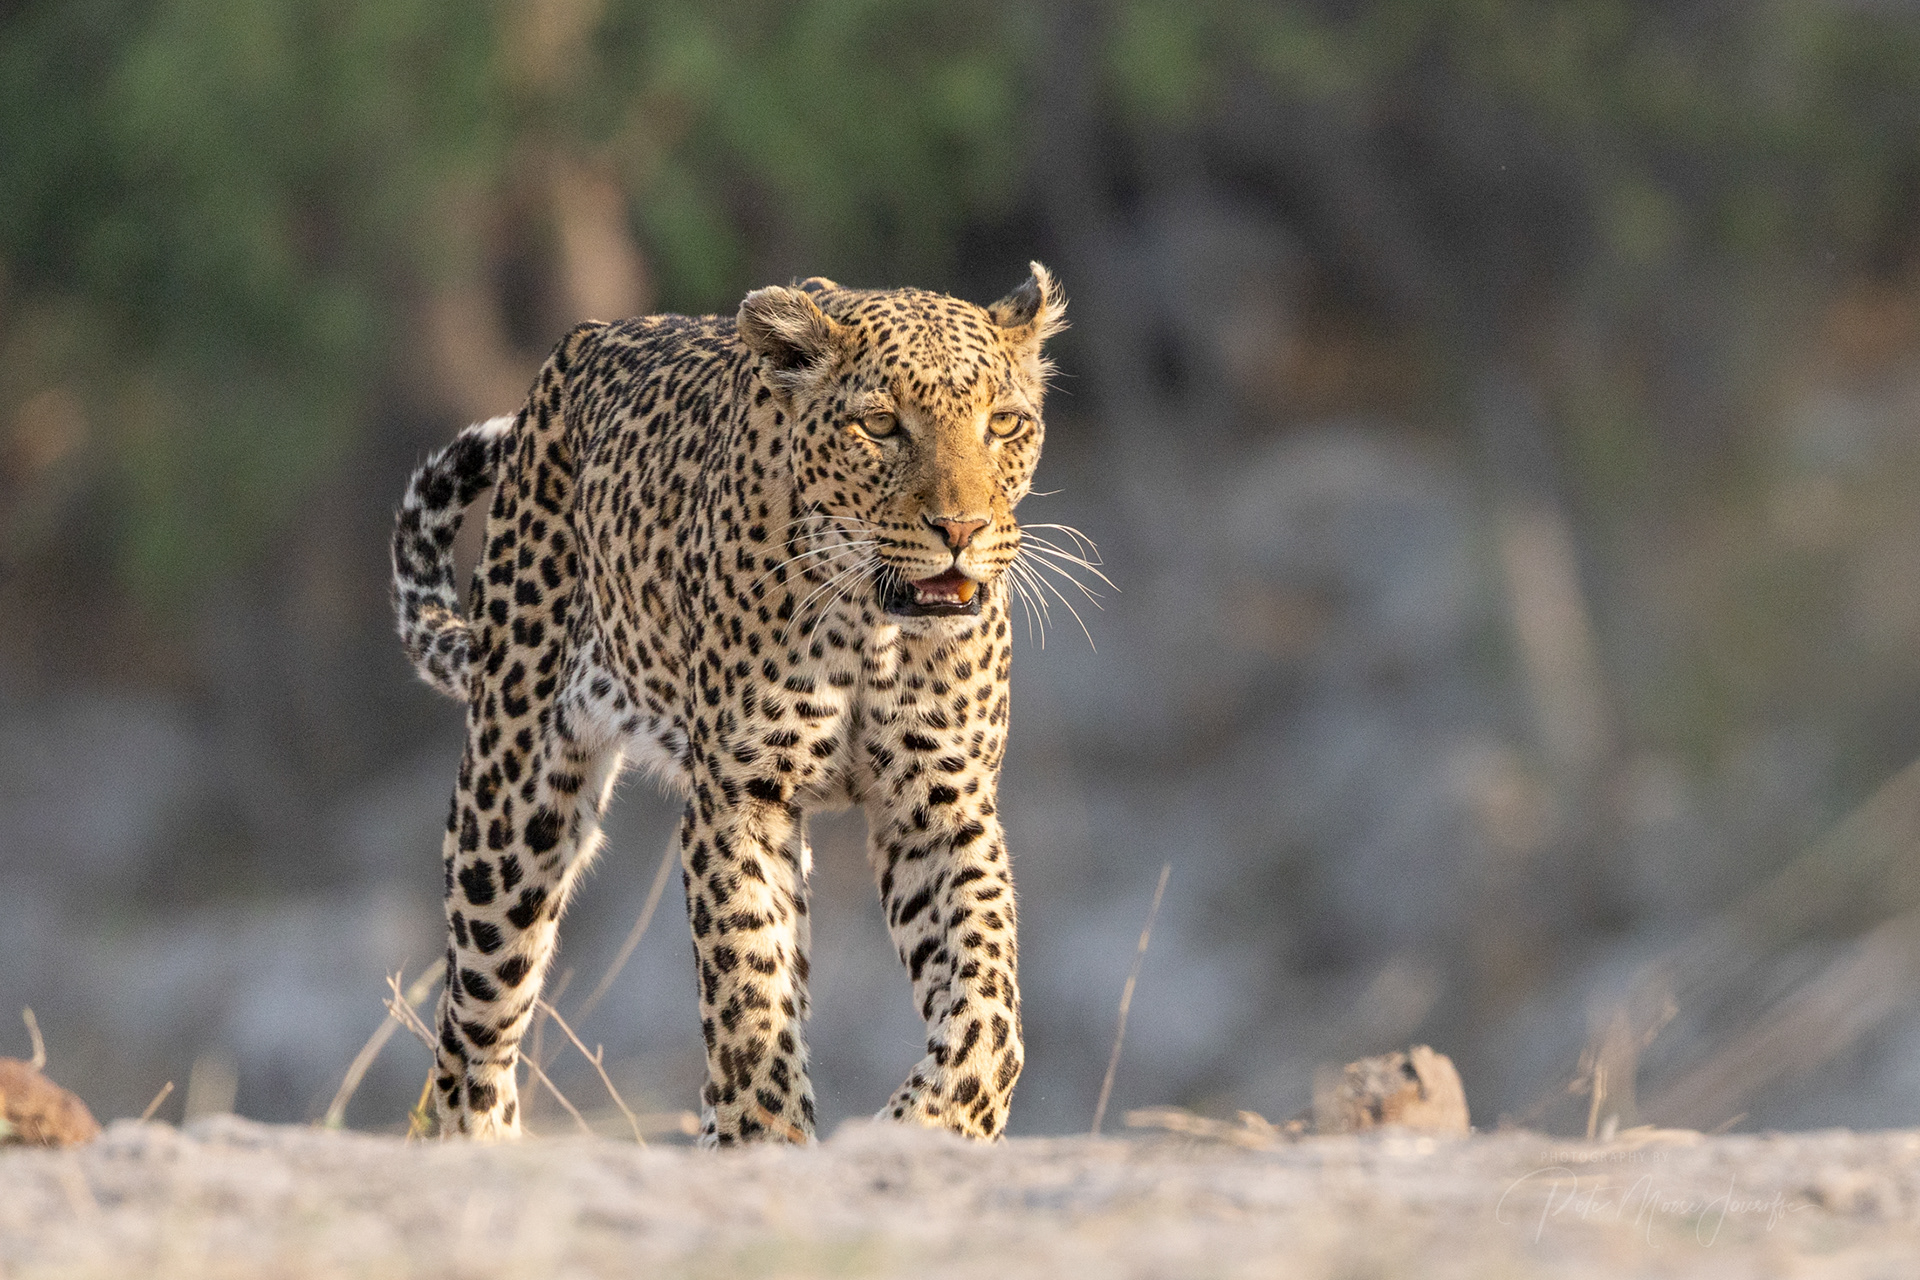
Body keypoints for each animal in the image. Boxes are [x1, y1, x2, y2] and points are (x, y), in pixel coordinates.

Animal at [390, 264, 1071, 1145]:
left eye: (1005, 422)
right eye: (881, 425)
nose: (963, 529)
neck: (869, 628)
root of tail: (571, 354)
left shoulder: (941, 802)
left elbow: (987, 1004)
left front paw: (934, 1121)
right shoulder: (741, 796)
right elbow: (749, 992)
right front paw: (767, 1138)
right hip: (511, 810)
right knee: (469, 1038)